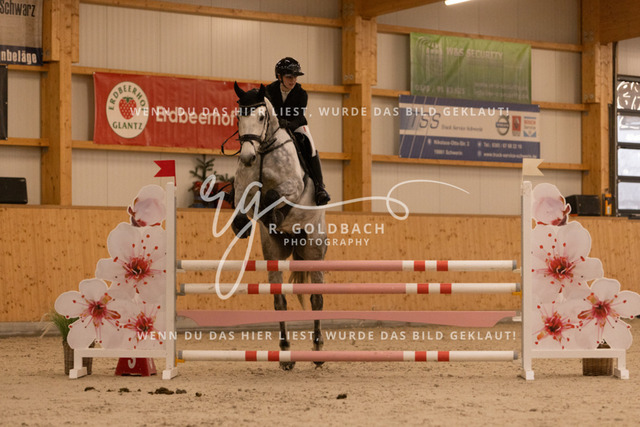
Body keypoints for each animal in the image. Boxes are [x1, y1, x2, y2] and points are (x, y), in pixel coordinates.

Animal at [232, 82, 327, 370]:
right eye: (238, 116)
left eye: (262, 116)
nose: (248, 156)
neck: (263, 152)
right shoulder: (242, 186)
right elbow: (241, 198)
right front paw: (242, 223)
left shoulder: (293, 186)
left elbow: (274, 195)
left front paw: (272, 212)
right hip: (274, 252)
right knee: (280, 300)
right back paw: (285, 355)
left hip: (315, 251)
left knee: (317, 299)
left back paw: (318, 352)